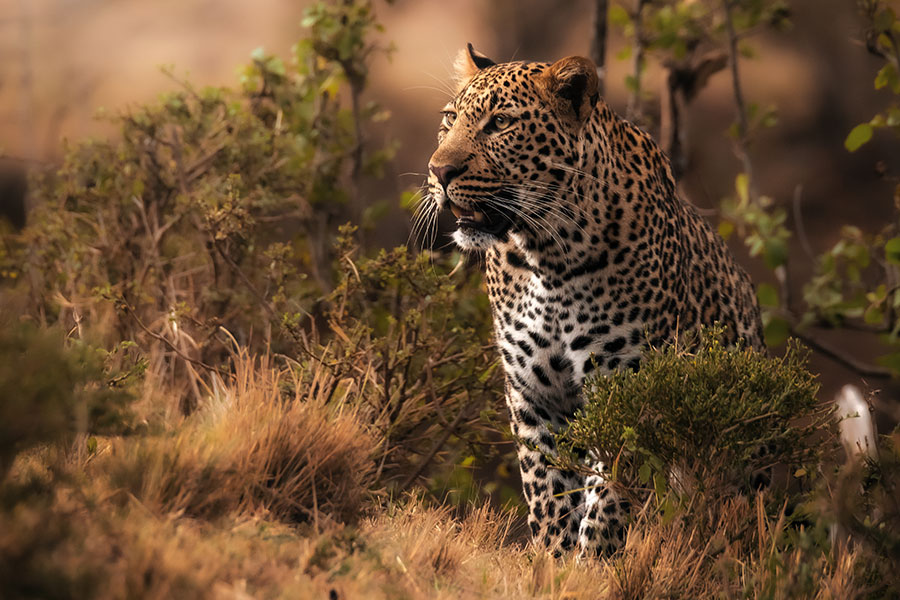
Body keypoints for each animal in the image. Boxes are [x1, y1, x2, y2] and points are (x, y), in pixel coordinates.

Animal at [426, 45, 764, 556]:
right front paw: (554, 562)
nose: (439, 171)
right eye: (449, 119)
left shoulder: (628, 390)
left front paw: (592, 562)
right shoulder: (535, 397)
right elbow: (548, 494)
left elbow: (609, 499)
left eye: (500, 123)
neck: (546, 254)